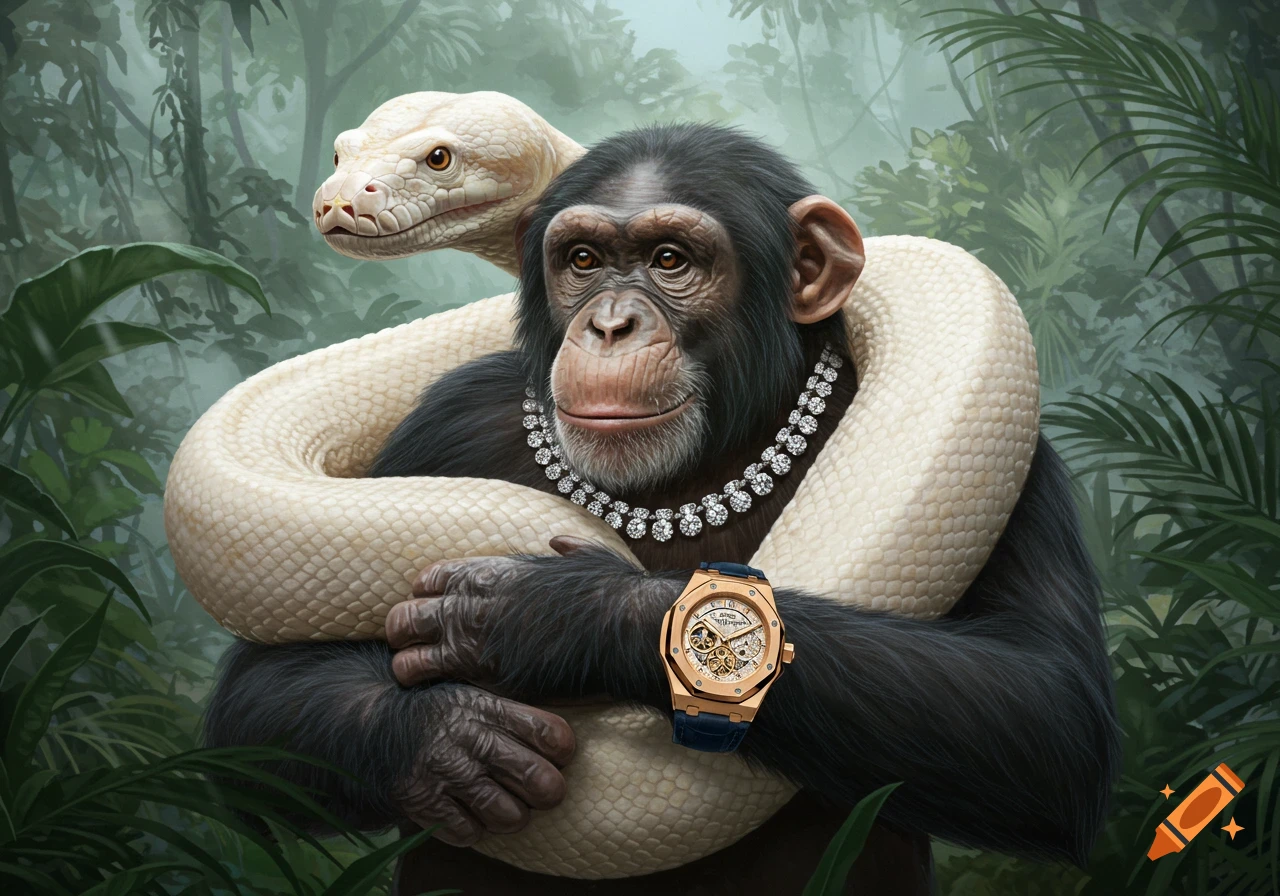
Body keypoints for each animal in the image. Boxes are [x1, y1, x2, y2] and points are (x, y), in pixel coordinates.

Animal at [205, 123, 1120, 896]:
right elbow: (259, 705)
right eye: (581, 259)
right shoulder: (444, 419)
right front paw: (445, 740)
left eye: (670, 259)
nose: (610, 325)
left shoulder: (1033, 465)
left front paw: (552, 617)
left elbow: (1045, 711)